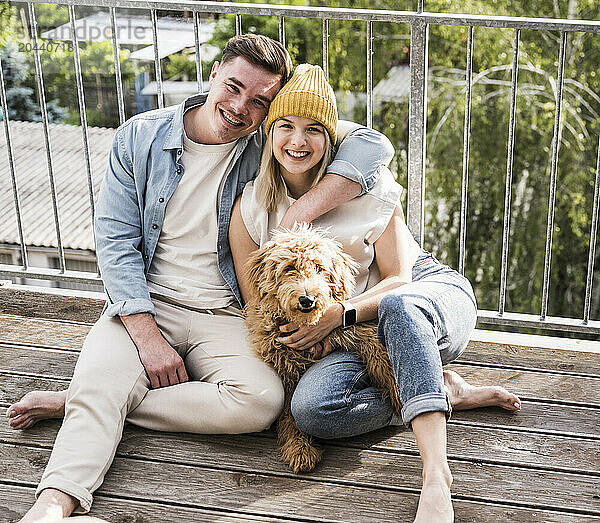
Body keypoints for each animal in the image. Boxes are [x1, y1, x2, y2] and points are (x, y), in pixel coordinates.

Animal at [244, 225, 404, 474]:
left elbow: (376, 347)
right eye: (289, 269)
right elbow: (290, 412)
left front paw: (398, 390)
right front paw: (299, 447)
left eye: (319, 268)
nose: (307, 299)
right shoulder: (287, 370)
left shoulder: (342, 327)